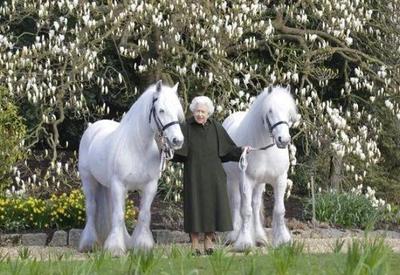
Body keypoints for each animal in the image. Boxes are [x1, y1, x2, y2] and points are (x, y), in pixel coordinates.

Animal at [78, 80, 184, 256]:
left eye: (177, 111)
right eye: (161, 110)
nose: (178, 140)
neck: (138, 147)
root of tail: (94, 126)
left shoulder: (149, 187)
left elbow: (144, 215)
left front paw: (142, 246)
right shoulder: (119, 184)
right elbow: (118, 215)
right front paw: (115, 249)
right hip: (89, 181)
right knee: (92, 209)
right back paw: (89, 244)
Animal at [223, 86, 298, 252]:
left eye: (289, 111)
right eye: (270, 110)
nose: (284, 140)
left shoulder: (280, 179)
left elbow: (279, 210)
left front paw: (283, 240)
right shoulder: (246, 181)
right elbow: (245, 211)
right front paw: (244, 243)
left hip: (259, 183)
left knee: (256, 205)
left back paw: (259, 237)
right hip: (233, 180)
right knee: (236, 203)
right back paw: (233, 236)